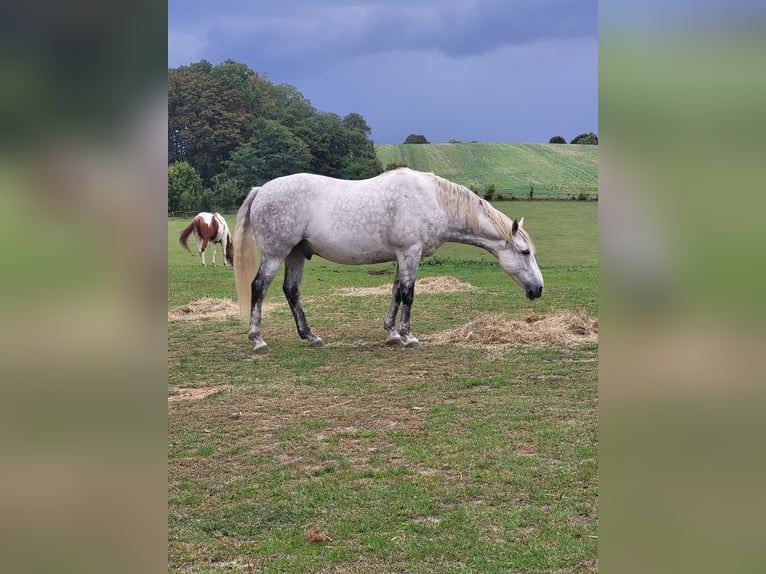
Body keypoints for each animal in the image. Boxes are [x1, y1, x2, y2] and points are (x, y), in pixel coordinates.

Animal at [233, 168, 543, 353]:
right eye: (525, 252)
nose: (538, 289)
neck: (432, 200)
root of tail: (262, 190)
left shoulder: (401, 256)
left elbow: (395, 292)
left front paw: (392, 334)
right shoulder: (410, 253)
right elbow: (408, 294)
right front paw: (409, 337)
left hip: (296, 255)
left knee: (292, 291)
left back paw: (311, 337)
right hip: (276, 254)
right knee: (258, 288)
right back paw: (258, 340)